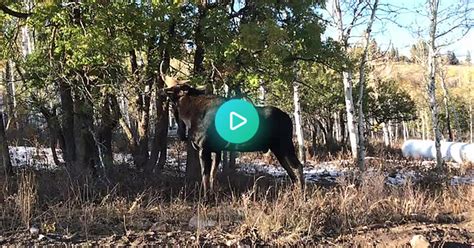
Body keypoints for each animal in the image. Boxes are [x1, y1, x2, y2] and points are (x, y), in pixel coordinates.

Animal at [163, 74, 304, 195]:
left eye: (176, 91)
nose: (164, 90)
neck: (191, 116)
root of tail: (289, 118)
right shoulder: (217, 149)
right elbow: (213, 174)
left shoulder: (204, 148)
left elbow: (205, 176)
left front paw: (205, 198)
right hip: (277, 149)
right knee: (291, 171)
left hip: (285, 145)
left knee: (298, 166)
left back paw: (302, 195)